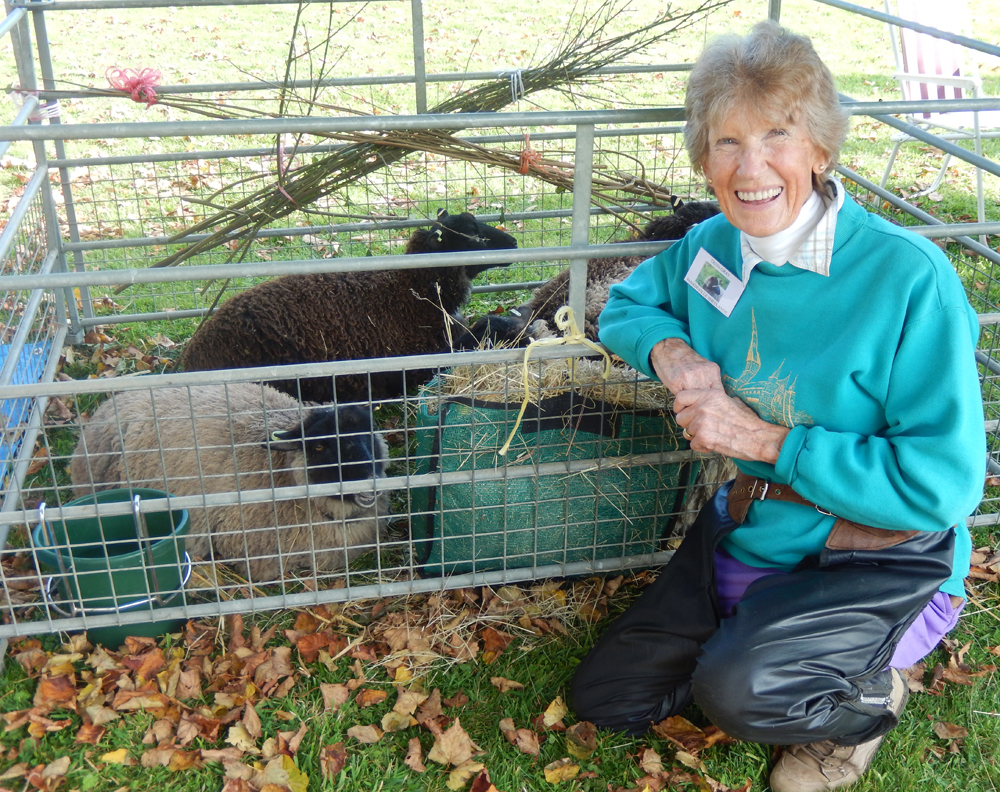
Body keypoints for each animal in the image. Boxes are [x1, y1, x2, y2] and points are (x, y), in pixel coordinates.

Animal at [179, 209, 519, 403]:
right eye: (471, 232)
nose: (515, 243)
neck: (413, 292)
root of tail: (191, 360)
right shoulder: (417, 364)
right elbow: (483, 327)